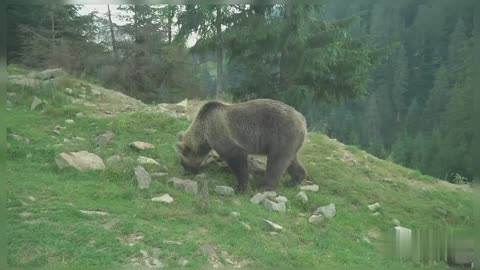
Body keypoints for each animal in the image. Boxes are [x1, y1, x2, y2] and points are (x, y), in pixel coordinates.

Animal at [176, 98, 308, 192]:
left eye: (182, 161)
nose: (185, 172)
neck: (204, 134)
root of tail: (302, 118)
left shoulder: (219, 131)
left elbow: (236, 156)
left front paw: (240, 187)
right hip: (291, 141)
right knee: (290, 160)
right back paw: (294, 180)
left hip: (281, 134)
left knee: (276, 161)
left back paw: (264, 186)